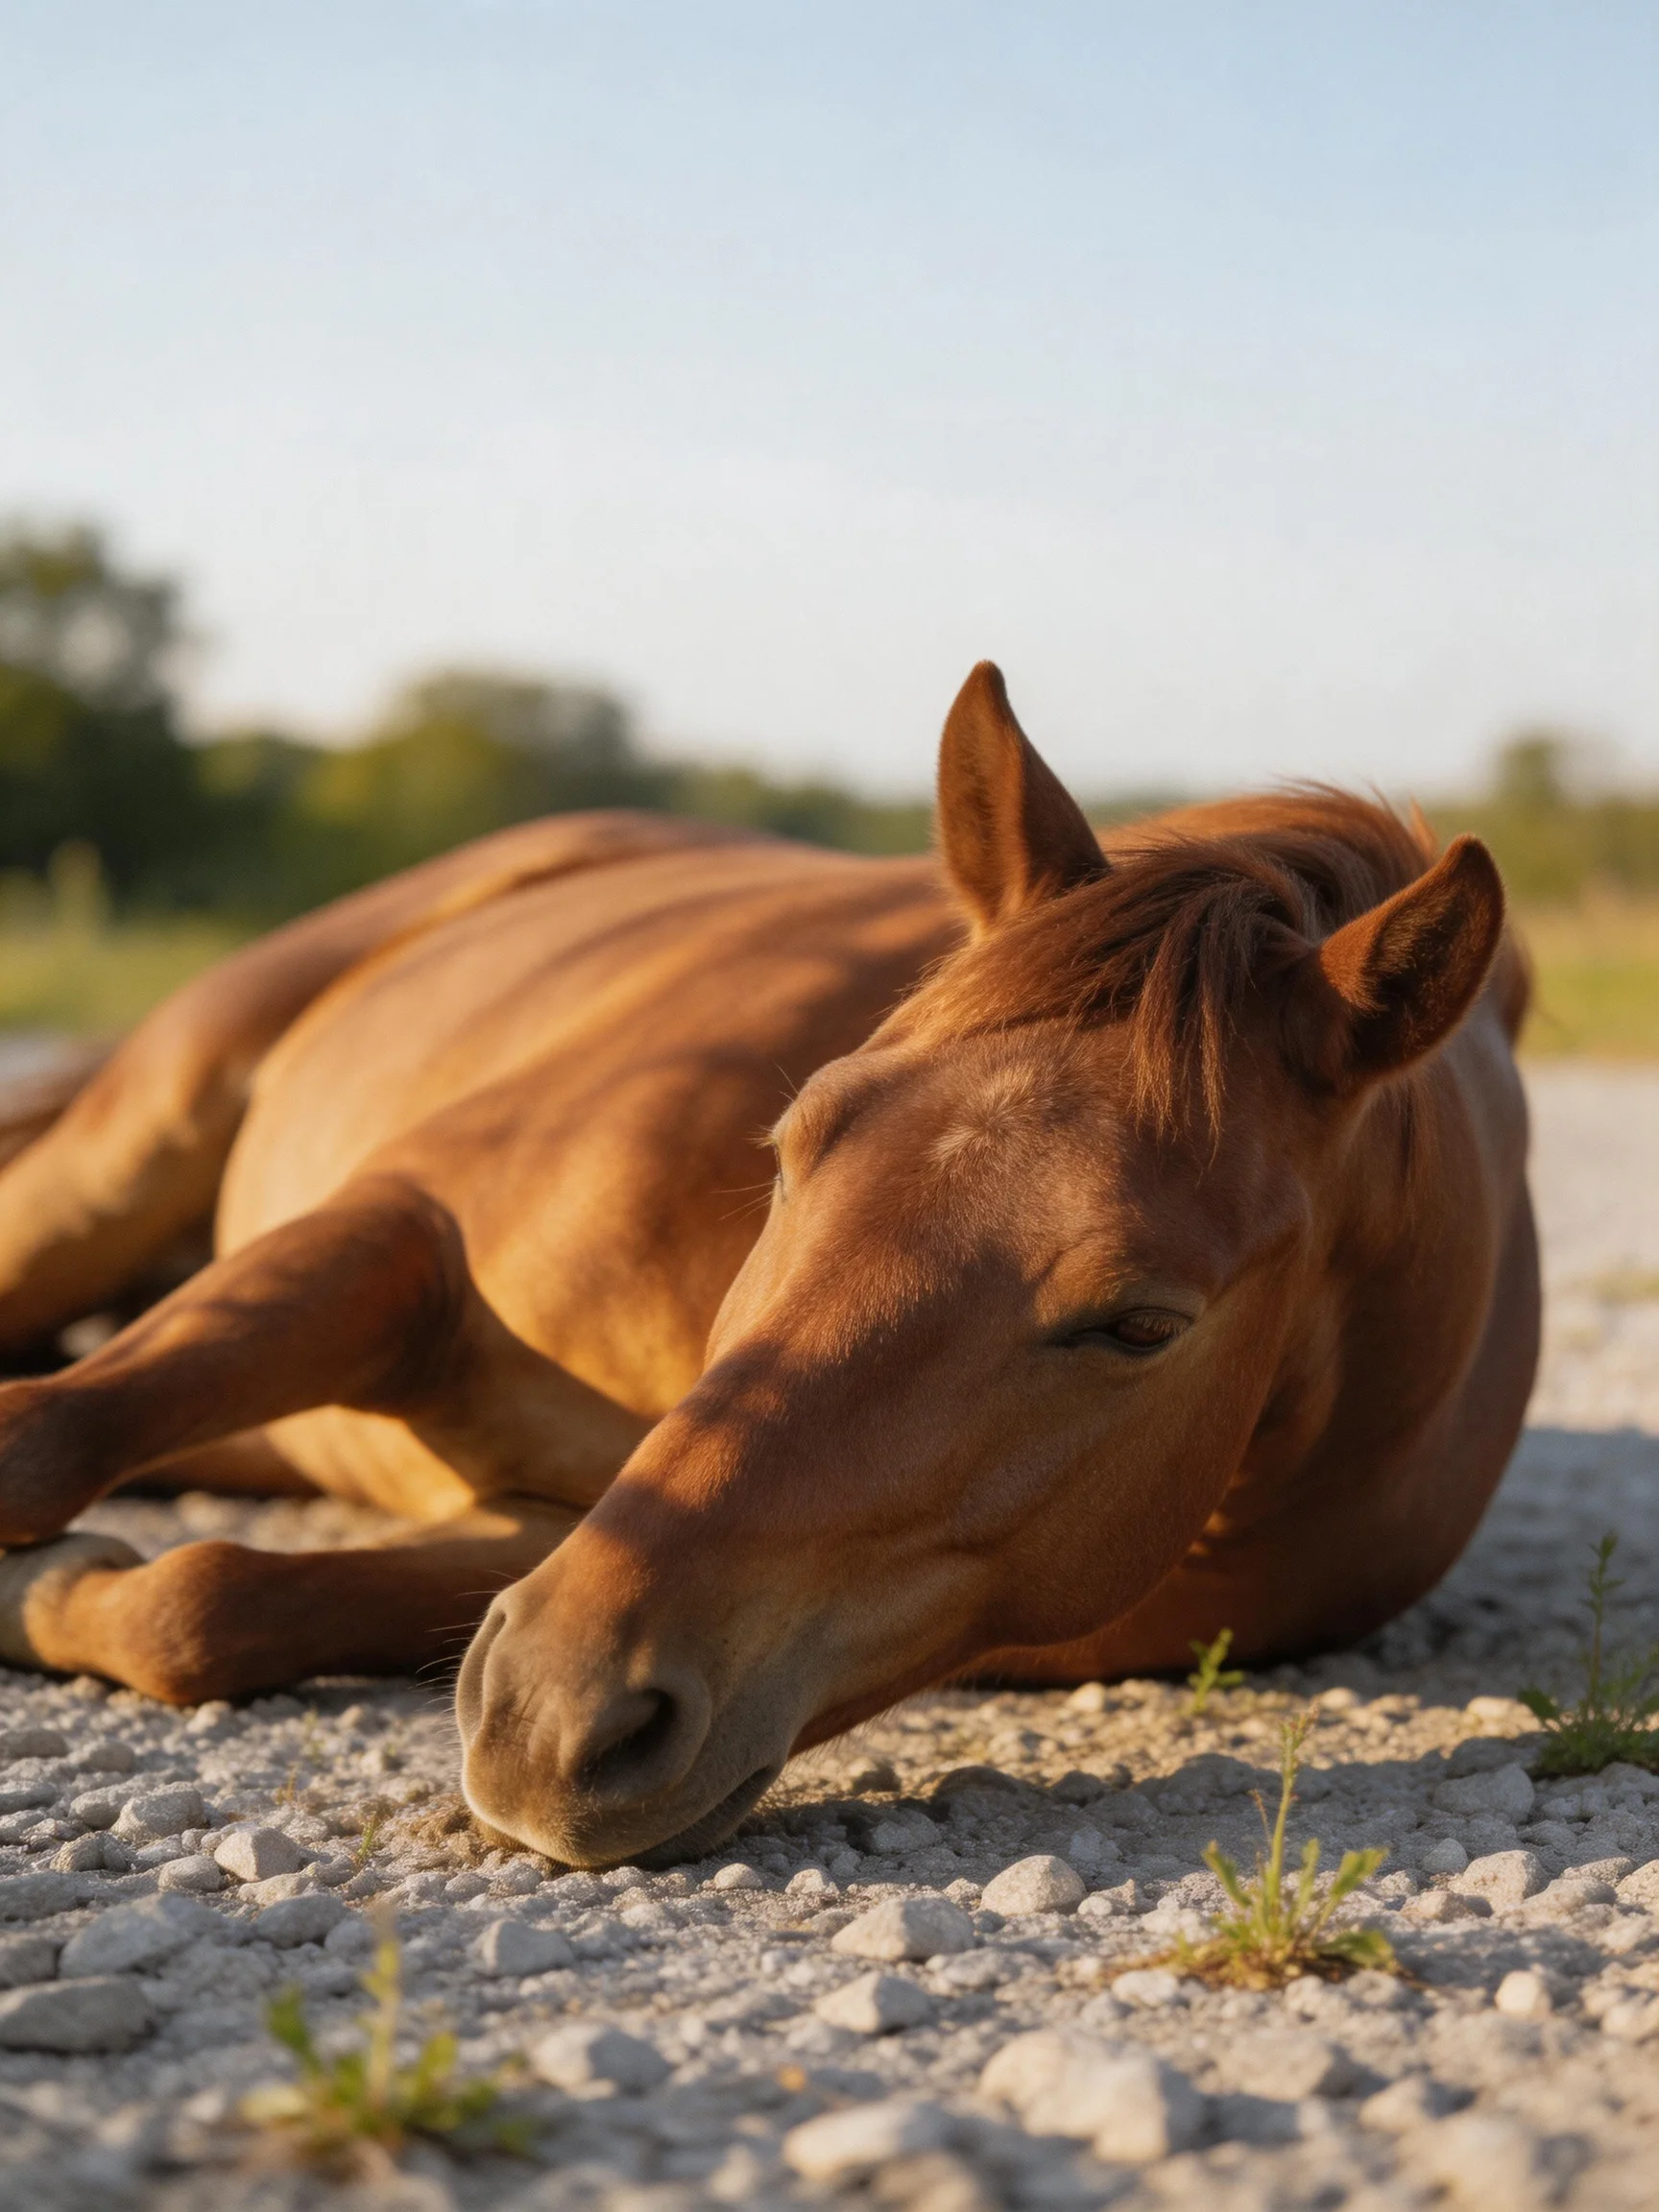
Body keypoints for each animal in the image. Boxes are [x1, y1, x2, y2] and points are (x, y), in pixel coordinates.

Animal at [0, 664, 1538, 1867]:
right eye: (797, 1145)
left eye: (1140, 1324)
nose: (550, 1719)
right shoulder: (403, 1228)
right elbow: (42, 1440)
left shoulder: (546, 1519)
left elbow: (217, 1598)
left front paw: (62, 1593)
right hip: (133, 1147)